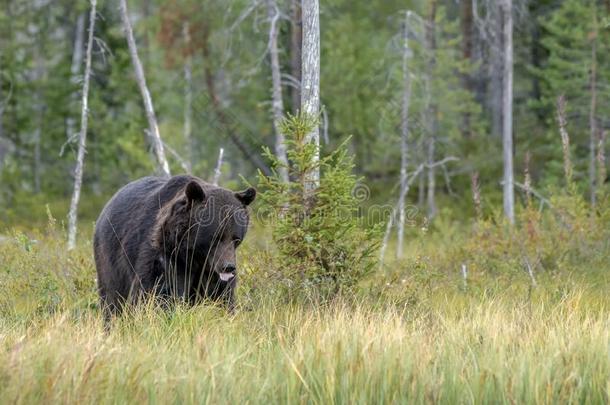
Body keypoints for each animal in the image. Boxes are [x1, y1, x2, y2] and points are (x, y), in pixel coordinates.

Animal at [92, 175, 254, 320]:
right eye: (215, 237)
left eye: (236, 238)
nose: (228, 267)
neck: (193, 255)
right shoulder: (166, 257)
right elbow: (157, 293)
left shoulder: (211, 268)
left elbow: (222, 296)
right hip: (110, 257)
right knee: (112, 297)